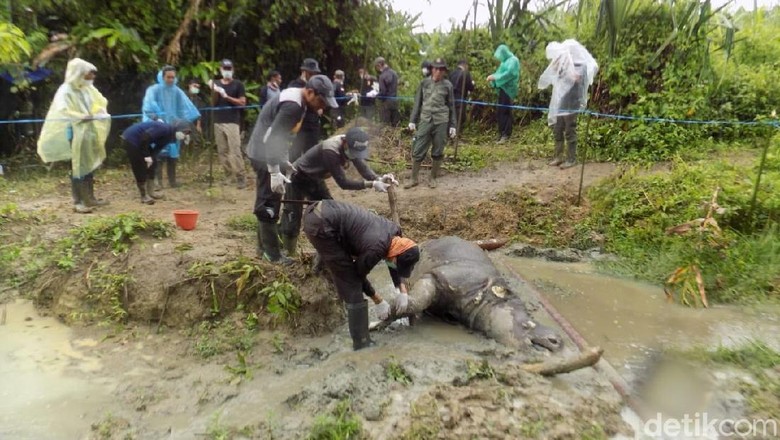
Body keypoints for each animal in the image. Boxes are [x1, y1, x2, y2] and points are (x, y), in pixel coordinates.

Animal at [378, 235, 560, 352]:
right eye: (526, 324)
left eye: (530, 313)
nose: (558, 341)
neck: (485, 296)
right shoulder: (441, 277)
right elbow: (418, 300)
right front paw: (381, 321)